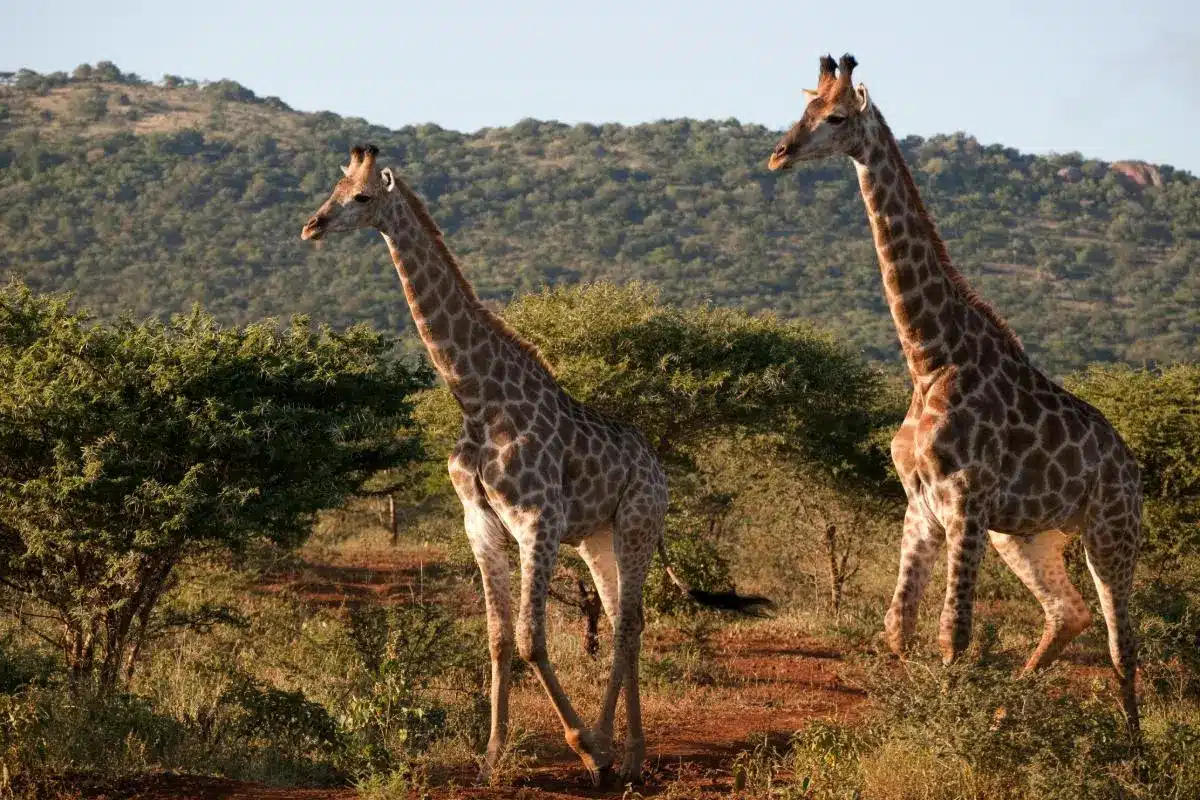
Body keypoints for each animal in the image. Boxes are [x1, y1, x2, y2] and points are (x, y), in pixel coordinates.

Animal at [301, 145, 766, 784]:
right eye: (334, 189)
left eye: (363, 197)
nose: (312, 226)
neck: (477, 401)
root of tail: (657, 464)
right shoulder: (480, 524)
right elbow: (498, 639)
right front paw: (492, 758)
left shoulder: (537, 522)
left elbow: (530, 640)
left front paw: (583, 747)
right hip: (597, 536)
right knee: (627, 620)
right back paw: (630, 754)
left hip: (637, 523)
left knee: (626, 623)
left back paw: (610, 752)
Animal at [766, 55, 1143, 736]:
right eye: (802, 109)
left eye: (834, 118)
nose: (780, 154)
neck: (929, 360)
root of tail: (1134, 467)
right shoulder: (922, 505)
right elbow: (897, 627)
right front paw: (914, 723)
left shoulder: (965, 500)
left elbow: (954, 632)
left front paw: (949, 732)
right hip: (1025, 535)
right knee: (1067, 614)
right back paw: (1003, 715)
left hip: (1111, 530)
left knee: (1120, 638)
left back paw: (1132, 745)